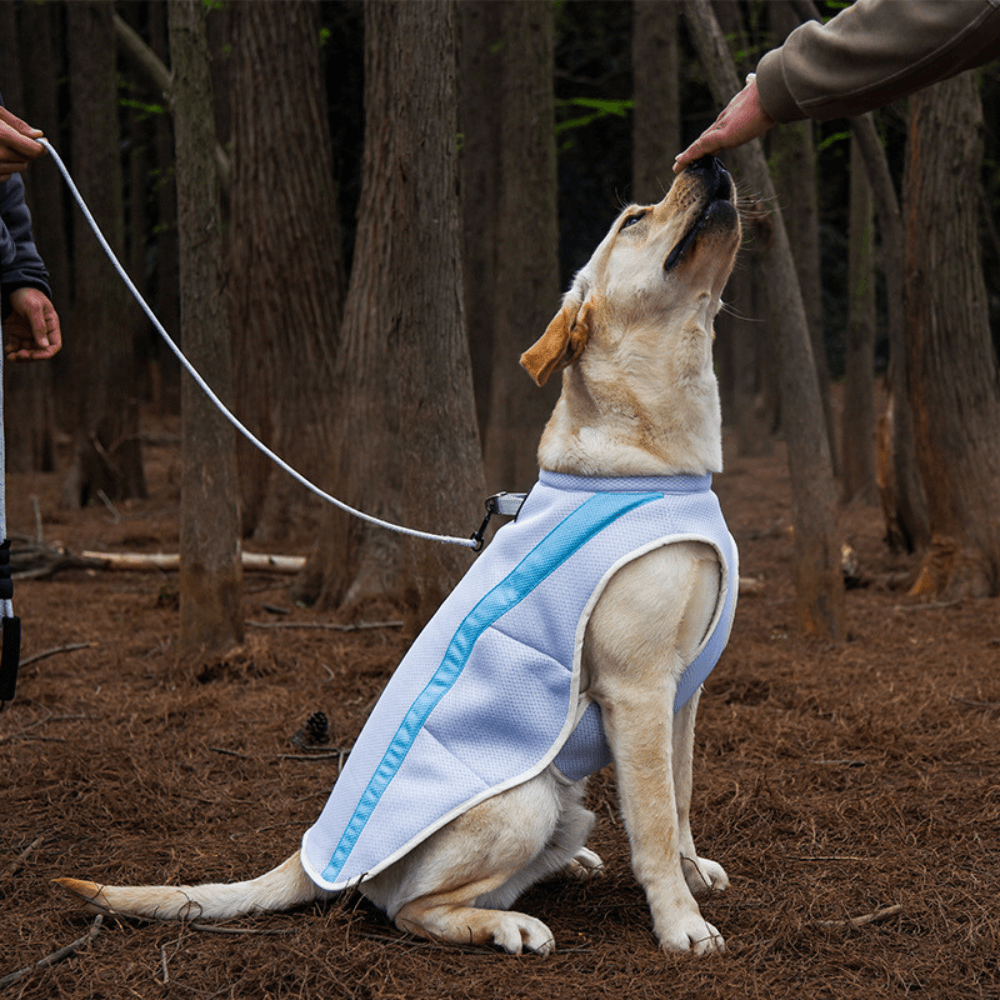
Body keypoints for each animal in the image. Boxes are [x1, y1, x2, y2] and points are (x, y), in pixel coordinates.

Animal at [54, 154, 744, 952]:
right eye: (634, 219)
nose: (711, 160)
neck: (661, 464)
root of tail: (314, 853)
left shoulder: (683, 691)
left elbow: (681, 797)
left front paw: (693, 874)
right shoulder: (638, 689)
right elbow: (655, 820)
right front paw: (679, 922)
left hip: (566, 803)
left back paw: (565, 868)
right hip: (525, 800)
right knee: (409, 908)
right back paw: (507, 925)